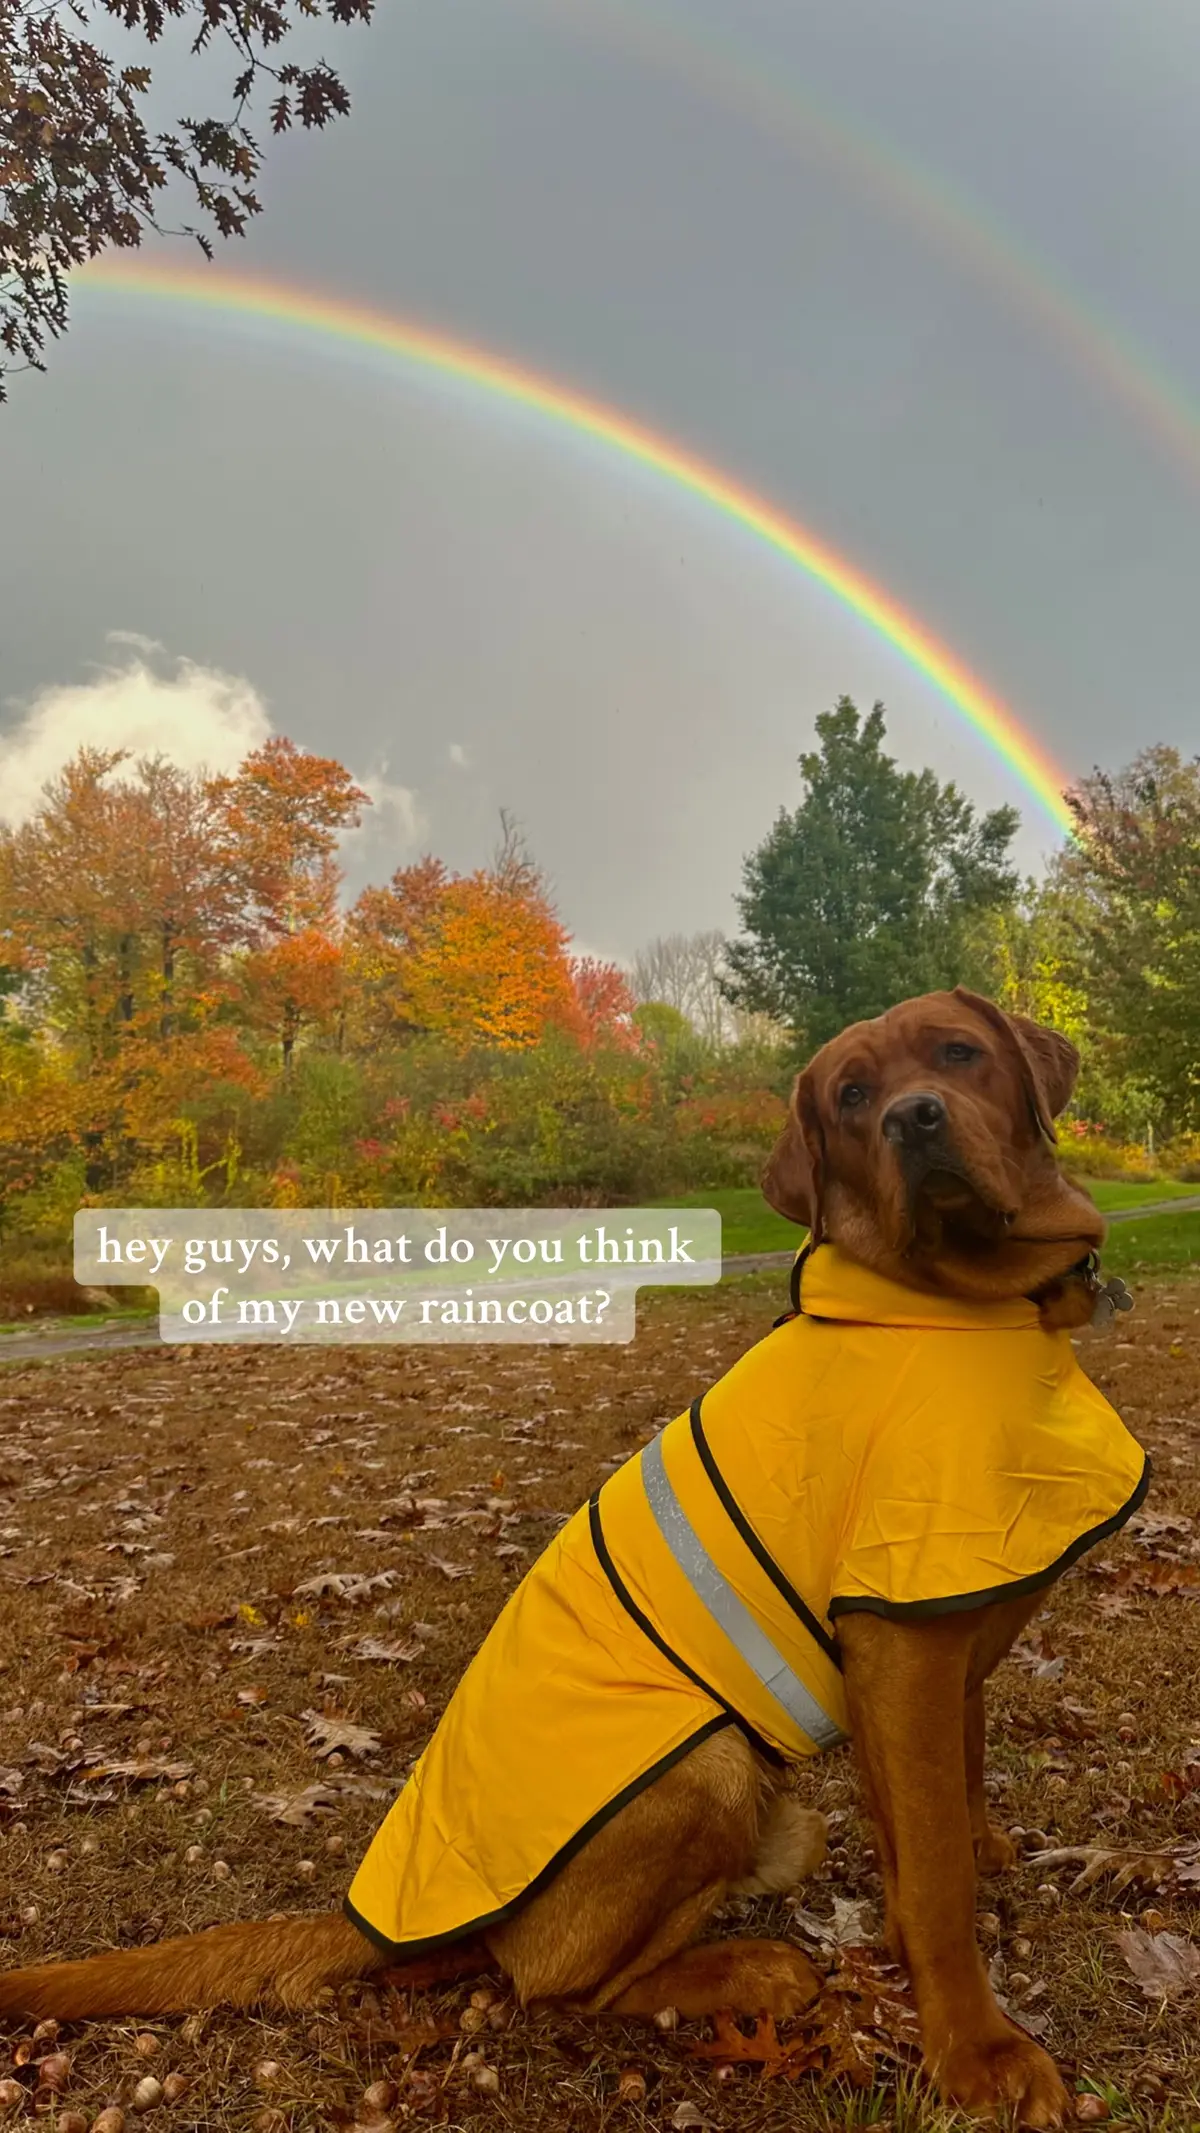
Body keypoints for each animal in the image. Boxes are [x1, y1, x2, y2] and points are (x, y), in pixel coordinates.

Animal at [0, 989, 1150, 2124]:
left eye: (958, 1054)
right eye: (853, 1097)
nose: (914, 1118)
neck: (974, 1304)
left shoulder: (943, 1634)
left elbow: (958, 1793)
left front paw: (988, 1862)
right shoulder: (899, 1646)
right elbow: (935, 1880)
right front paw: (979, 2050)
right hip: (706, 1764)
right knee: (560, 1980)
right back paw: (753, 1968)